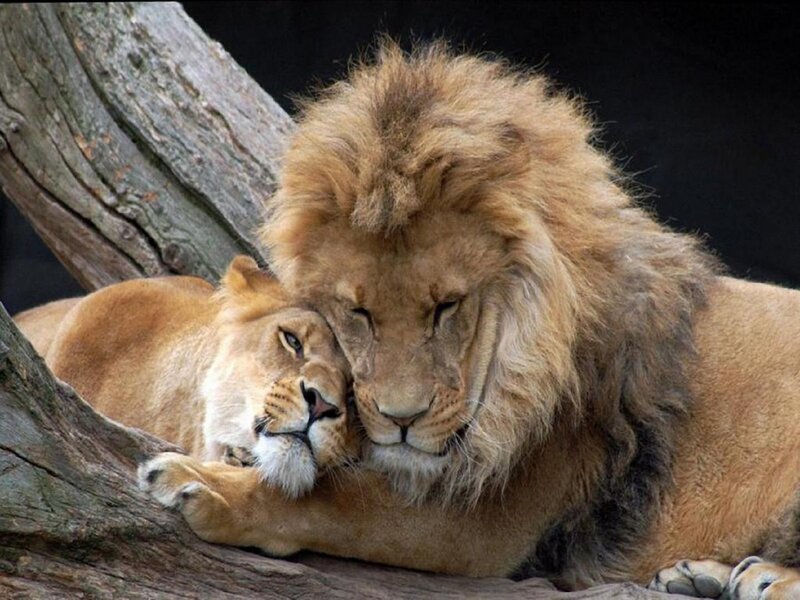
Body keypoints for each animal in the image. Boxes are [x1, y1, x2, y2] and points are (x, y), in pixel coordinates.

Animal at [139, 43, 800, 597]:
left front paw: (198, 482)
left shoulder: (487, 517)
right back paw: (703, 576)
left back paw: (764, 577)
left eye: (447, 306)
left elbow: (328, 502)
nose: (401, 421)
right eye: (359, 312)